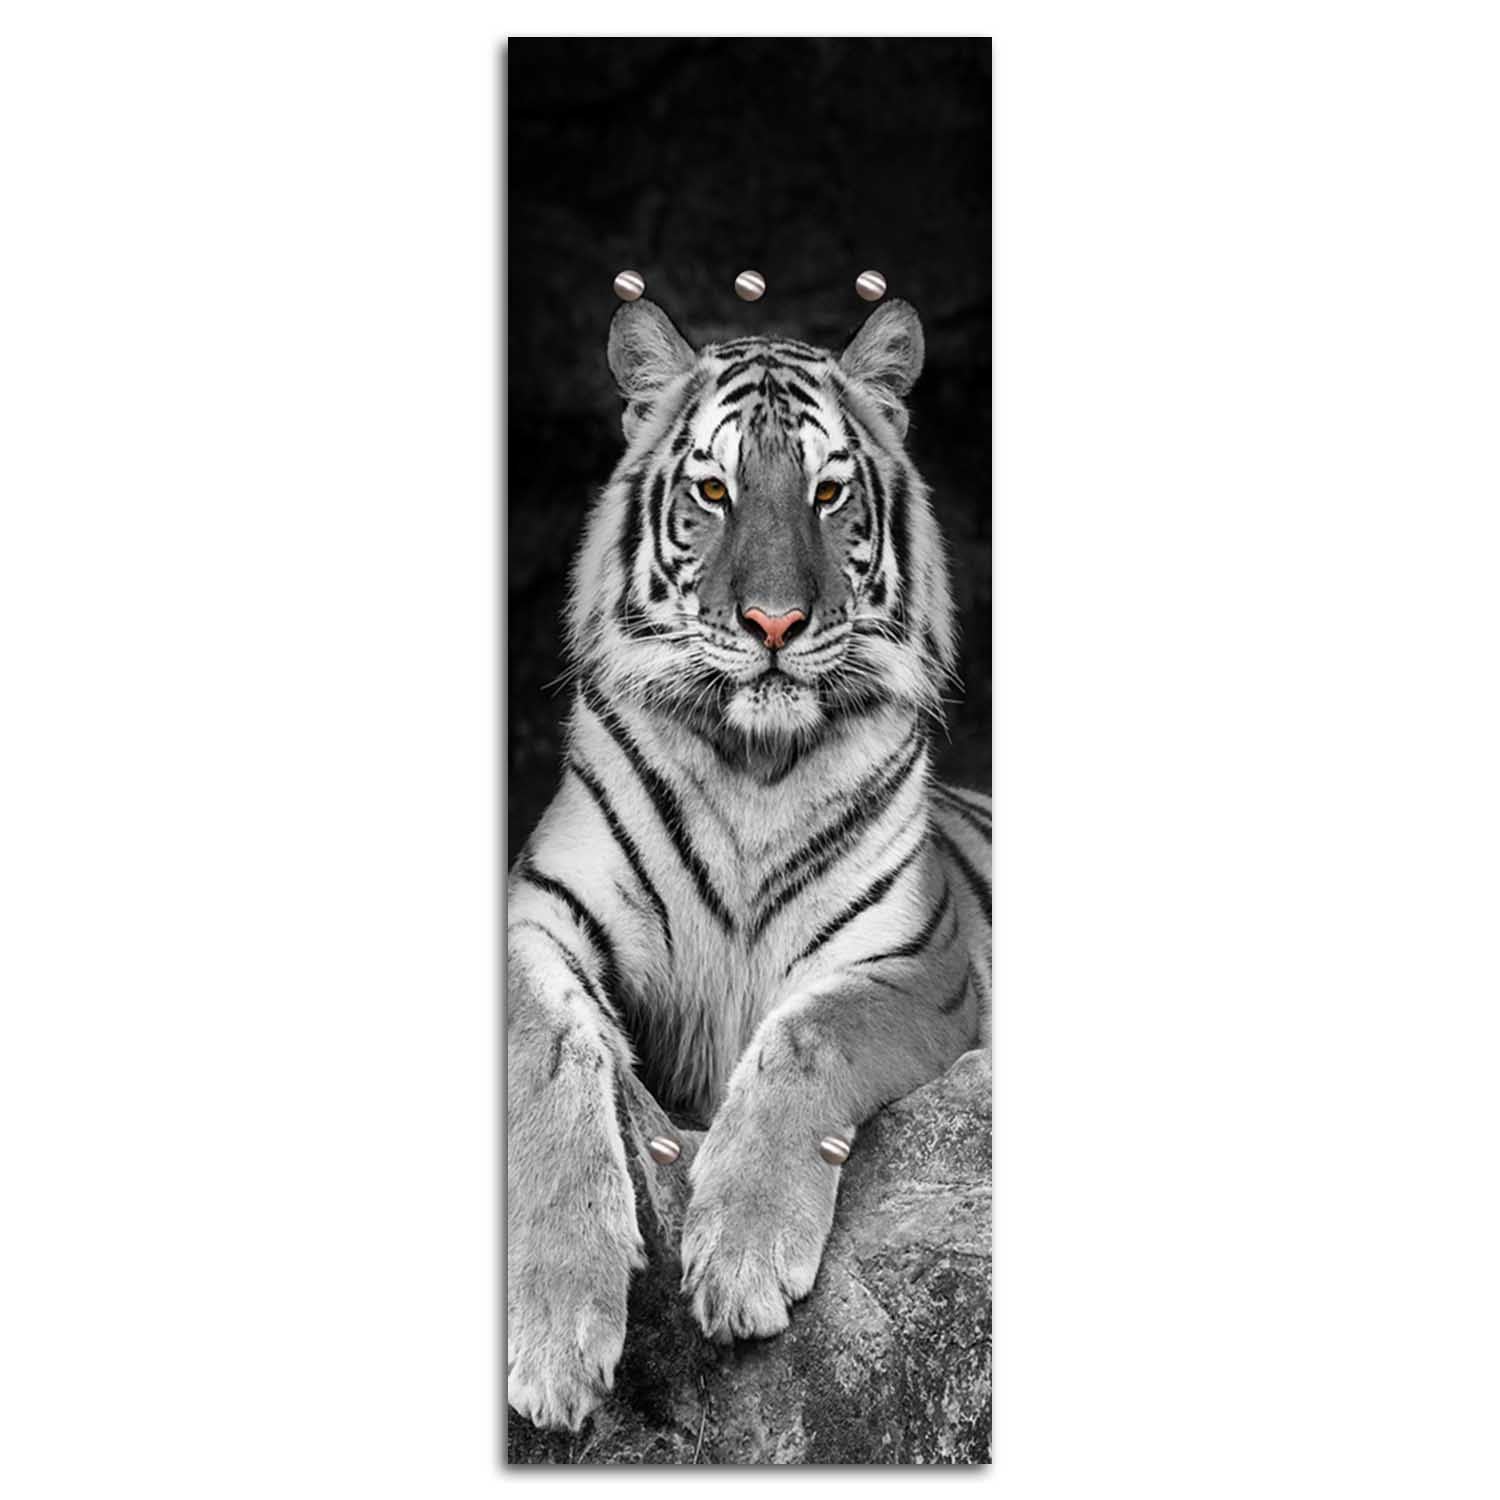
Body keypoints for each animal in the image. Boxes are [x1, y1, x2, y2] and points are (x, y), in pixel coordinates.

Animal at [506, 295, 991, 1433]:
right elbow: (548, 1055)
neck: (752, 766)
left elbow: (808, 1035)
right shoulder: (537, 913)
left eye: (828, 493)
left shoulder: (920, 958)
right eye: (715, 491)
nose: (775, 623)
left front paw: (739, 1253)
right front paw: (556, 1336)